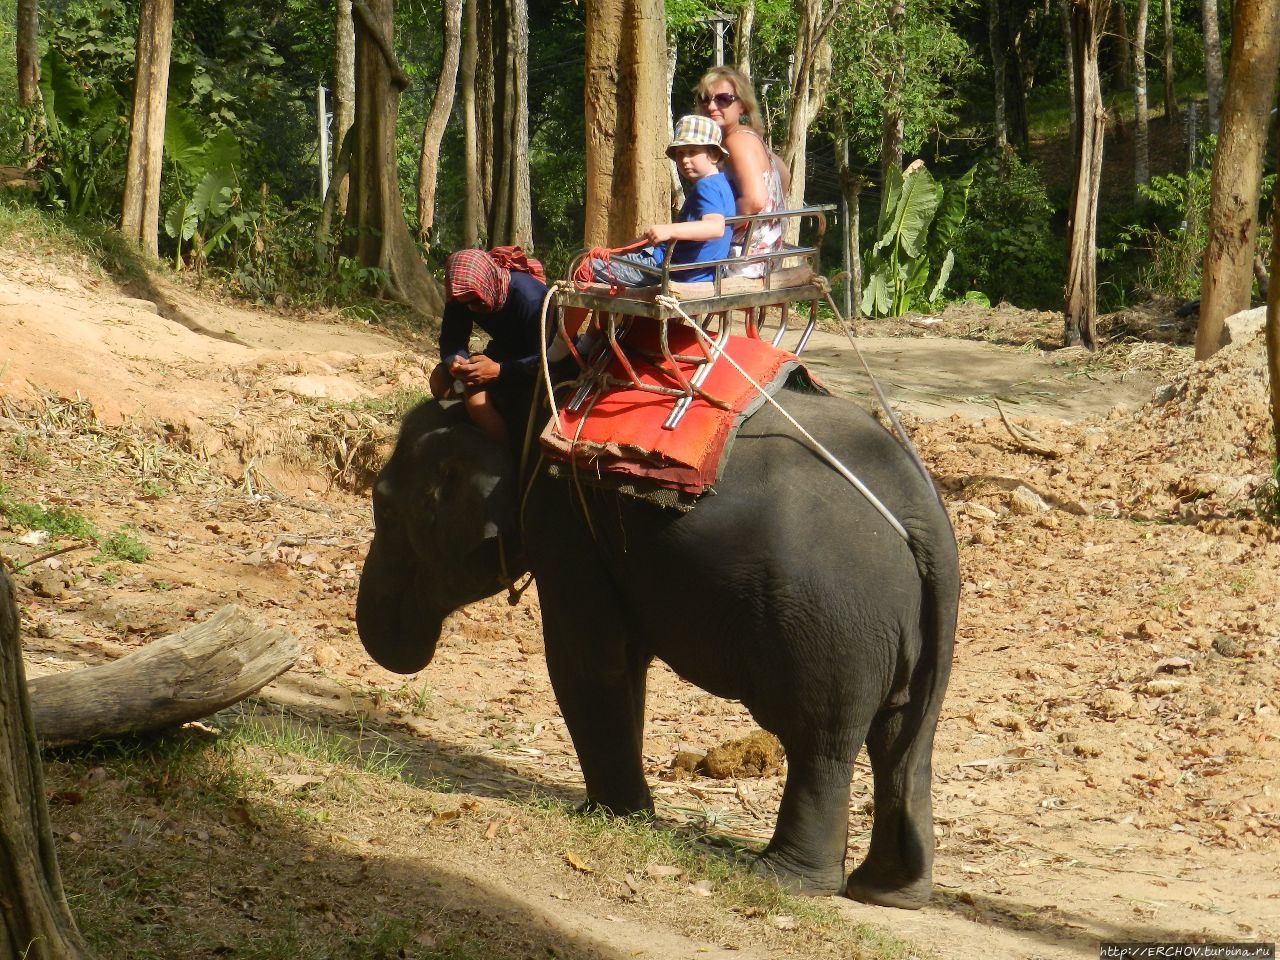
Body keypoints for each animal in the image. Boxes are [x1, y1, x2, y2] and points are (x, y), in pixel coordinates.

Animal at [355, 386, 957, 911]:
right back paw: (887, 891)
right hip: (906, 631)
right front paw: (621, 814)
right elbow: (622, 664)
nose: (398, 646)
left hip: (830, 625)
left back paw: (780, 879)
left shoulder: (566, 519)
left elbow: (586, 659)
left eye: (383, 505)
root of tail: (924, 518)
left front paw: (610, 816)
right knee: (903, 742)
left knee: (821, 740)